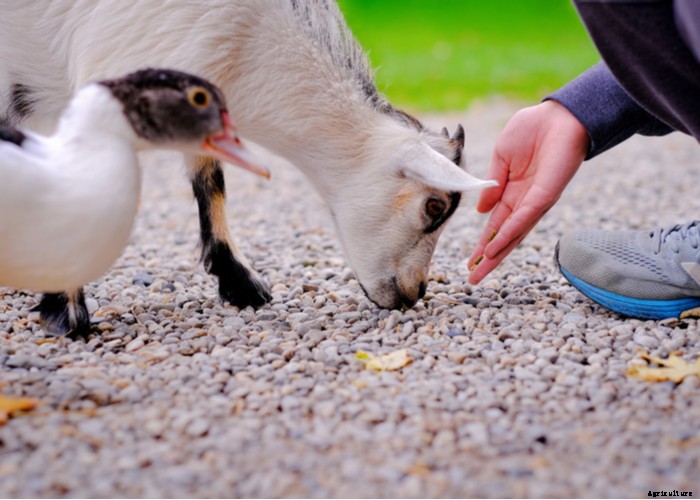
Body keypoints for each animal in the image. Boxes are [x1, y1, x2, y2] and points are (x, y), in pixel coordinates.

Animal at [0, 0, 495, 335]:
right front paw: (66, 311)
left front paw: (241, 284)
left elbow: (211, 180)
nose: (414, 293)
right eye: (434, 207)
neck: (250, 44)